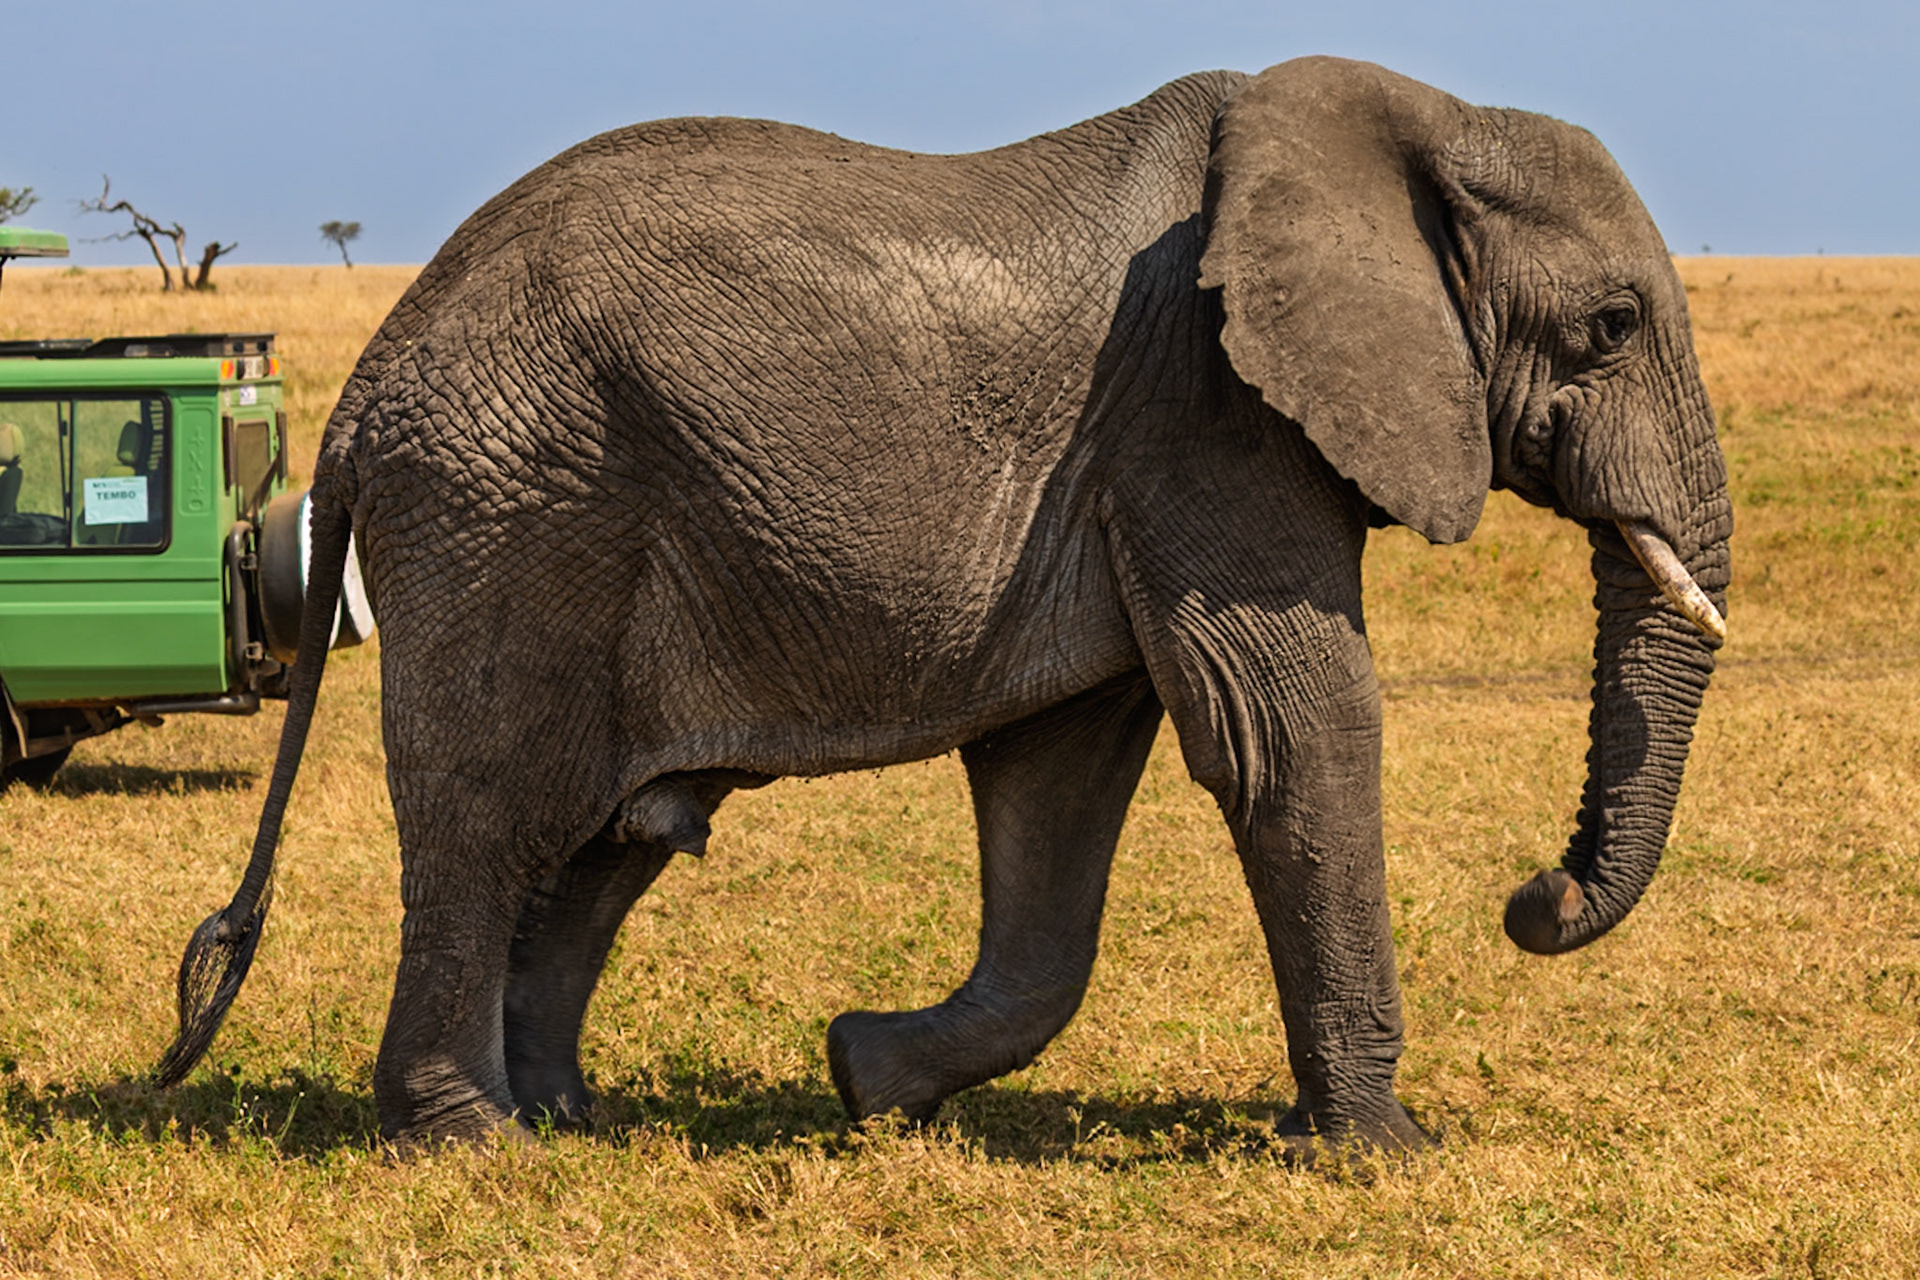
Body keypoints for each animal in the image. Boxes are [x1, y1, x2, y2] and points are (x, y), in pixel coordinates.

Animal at [156, 55, 1730, 1155]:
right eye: (1608, 330)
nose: (1535, 897)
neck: (1407, 114)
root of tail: (364, 388)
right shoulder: (1206, 412)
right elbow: (1289, 730)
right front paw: (1387, 1152)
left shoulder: (1133, 459)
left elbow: (1062, 778)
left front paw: (866, 1078)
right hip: (510, 512)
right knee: (490, 818)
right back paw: (471, 1144)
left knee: (617, 834)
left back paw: (570, 1116)